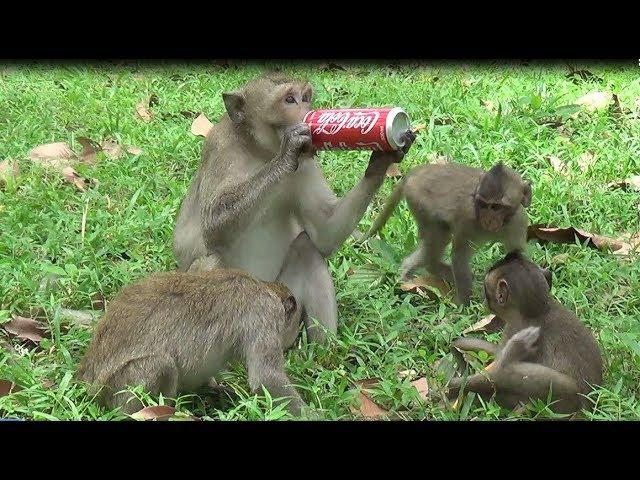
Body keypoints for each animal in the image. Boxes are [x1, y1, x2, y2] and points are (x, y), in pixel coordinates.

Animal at [172, 71, 418, 344]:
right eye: (289, 99)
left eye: (306, 97)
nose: (308, 112)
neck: (262, 152)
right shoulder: (221, 147)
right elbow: (214, 227)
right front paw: (287, 153)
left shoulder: (306, 163)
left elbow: (324, 232)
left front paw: (383, 157)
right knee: (211, 262)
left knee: (305, 247)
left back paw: (325, 349)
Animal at [362, 160, 532, 304]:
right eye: (483, 204)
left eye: (497, 207)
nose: (488, 219)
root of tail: (418, 171)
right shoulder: (467, 221)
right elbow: (459, 257)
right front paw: (465, 306)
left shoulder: (518, 222)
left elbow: (515, 255)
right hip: (420, 203)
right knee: (436, 240)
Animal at [448, 251, 604, 416]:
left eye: (486, 289)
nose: (484, 301)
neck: (539, 310)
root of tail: (588, 409)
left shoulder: (514, 327)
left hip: (566, 397)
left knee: (504, 375)